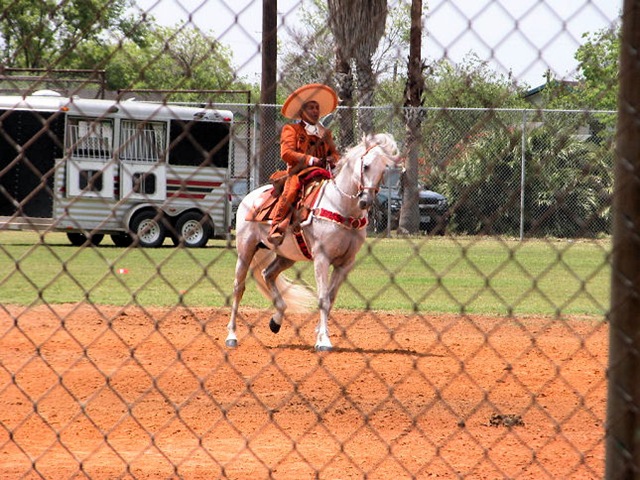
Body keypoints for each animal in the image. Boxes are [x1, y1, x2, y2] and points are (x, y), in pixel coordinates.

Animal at [226, 133, 400, 350]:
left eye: (384, 169)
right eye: (366, 166)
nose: (365, 201)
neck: (341, 207)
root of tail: (249, 197)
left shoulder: (346, 263)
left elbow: (331, 298)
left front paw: (320, 332)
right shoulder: (322, 259)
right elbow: (323, 298)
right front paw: (324, 339)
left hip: (286, 256)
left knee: (268, 274)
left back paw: (276, 320)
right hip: (246, 250)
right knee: (238, 287)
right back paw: (232, 336)